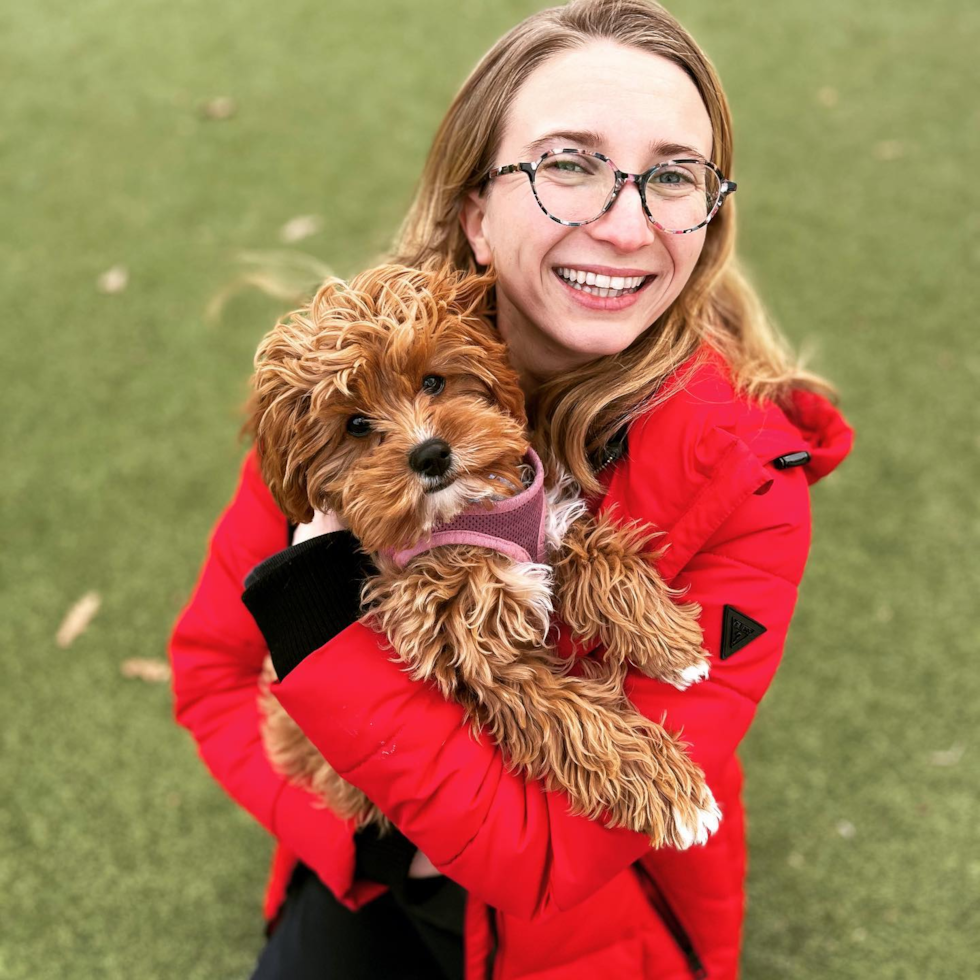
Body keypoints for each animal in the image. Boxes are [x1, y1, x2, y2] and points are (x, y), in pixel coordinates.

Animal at [245, 260, 720, 848]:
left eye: (433, 381)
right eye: (355, 424)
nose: (430, 453)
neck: (469, 515)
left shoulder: (545, 520)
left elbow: (601, 558)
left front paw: (670, 645)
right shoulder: (477, 650)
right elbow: (572, 717)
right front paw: (672, 794)